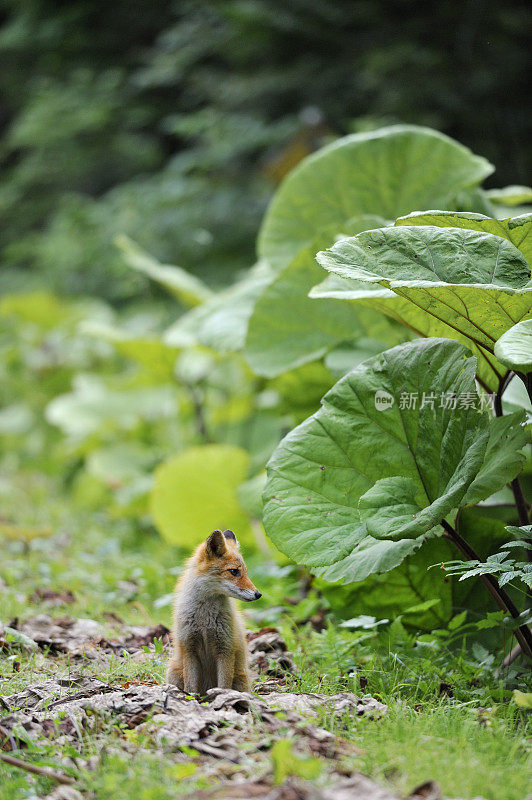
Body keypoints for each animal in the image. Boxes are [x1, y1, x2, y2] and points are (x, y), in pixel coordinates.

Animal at [164, 524, 260, 692]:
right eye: (234, 571)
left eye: (246, 572)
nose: (258, 594)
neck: (204, 620)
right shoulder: (189, 648)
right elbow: (190, 687)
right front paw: (190, 698)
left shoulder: (226, 649)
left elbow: (224, 685)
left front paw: (222, 695)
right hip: (173, 671)